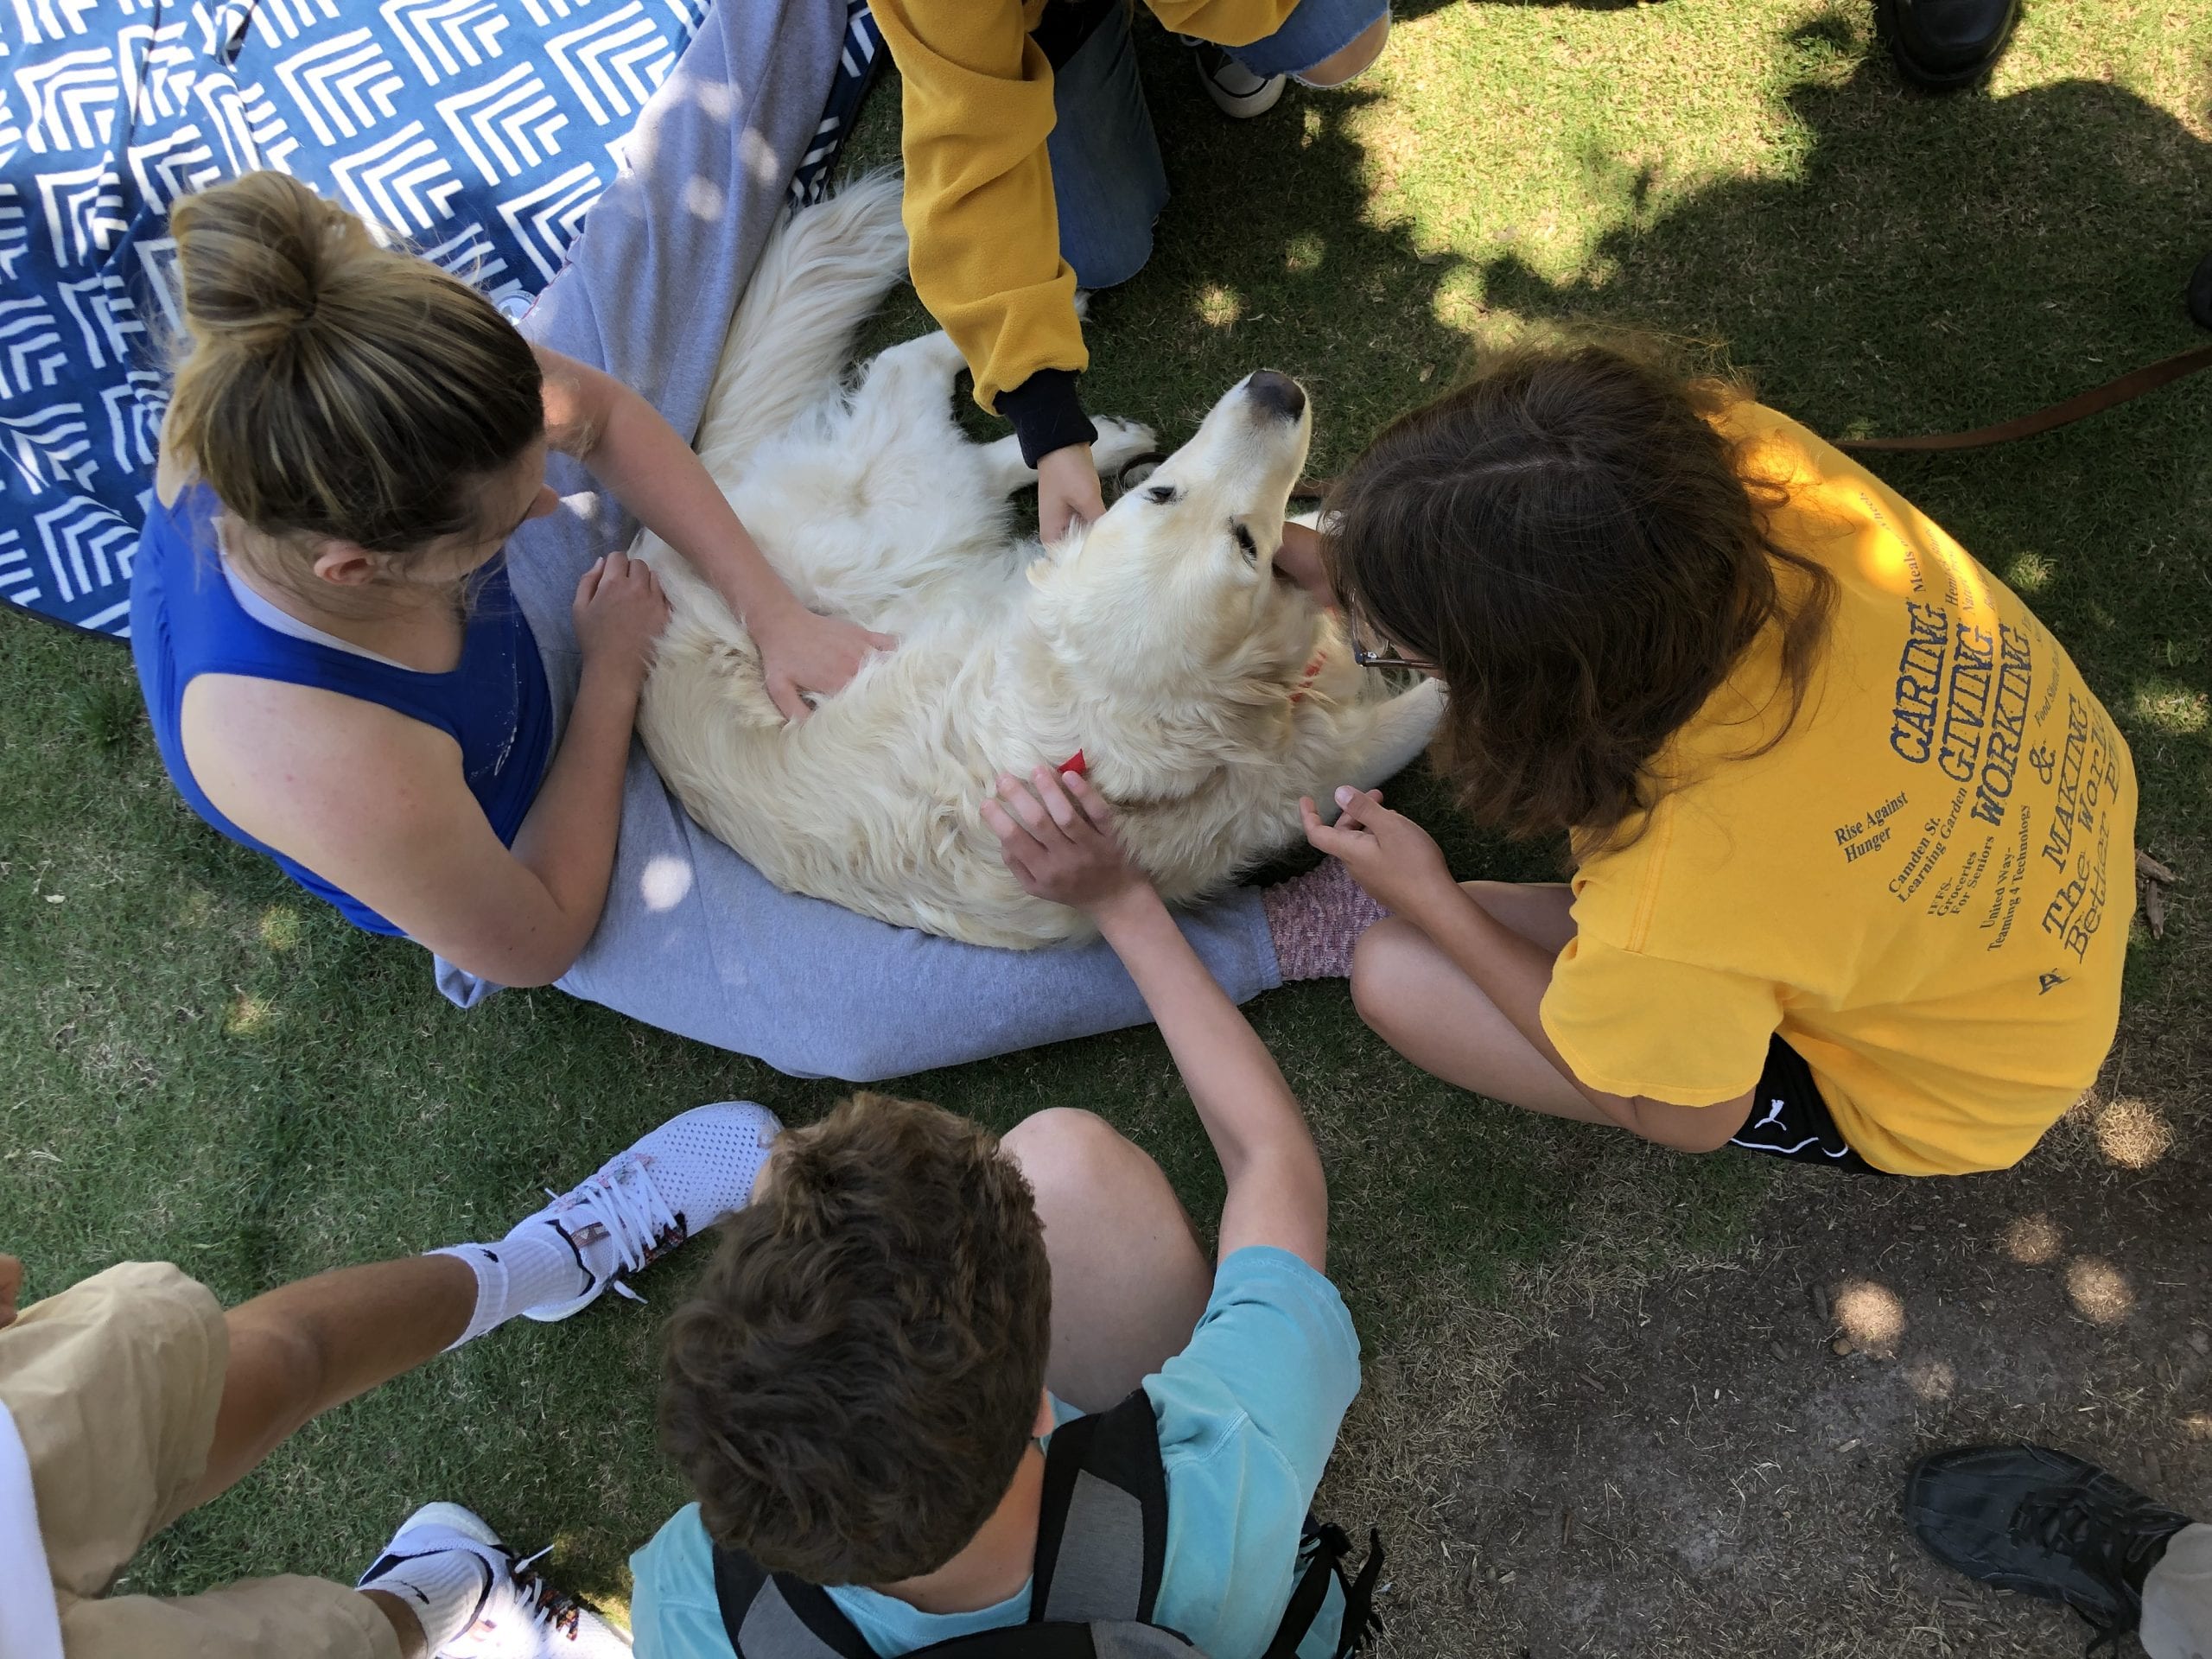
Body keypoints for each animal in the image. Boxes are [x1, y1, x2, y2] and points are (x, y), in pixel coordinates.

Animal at [632, 179, 1442, 946]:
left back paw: (1082, 383)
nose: (1275, 390)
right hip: (912, 508)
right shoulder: (1331, 774)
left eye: (1165, 494)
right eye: (1234, 537)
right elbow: (1419, 709)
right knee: (906, 377)